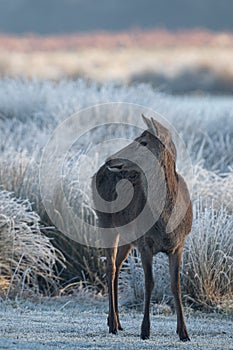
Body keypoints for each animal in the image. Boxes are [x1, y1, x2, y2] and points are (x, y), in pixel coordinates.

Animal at [92, 115, 192, 342]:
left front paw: (183, 332)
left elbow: (176, 285)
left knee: (117, 266)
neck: (165, 223)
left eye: (144, 142)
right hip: (105, 222)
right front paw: (145, 330)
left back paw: (117, 322)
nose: (110, 160)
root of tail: (96, 173)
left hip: (128, 236)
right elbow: (150, 283)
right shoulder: (145, 244)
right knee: (110, 268)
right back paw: (112, 324)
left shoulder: (179, 245)